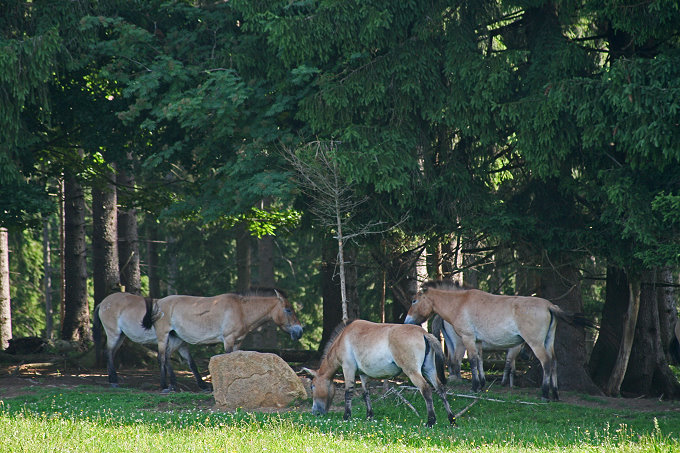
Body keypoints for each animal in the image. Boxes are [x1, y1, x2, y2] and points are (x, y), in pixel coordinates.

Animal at [142, 290, 302, 392]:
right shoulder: (228, 340)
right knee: (162, 357)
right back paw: (164, 386)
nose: (299, 331)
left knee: (171, 357)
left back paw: (182, 386)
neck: (242, 310)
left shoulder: (237, 342)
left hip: (176, 338)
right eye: (288, 310)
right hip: (163, 337)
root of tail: (158, 303)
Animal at [304, 318, 454, 428]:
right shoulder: (363, 374)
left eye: (312, 386)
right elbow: (366, 393)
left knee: (426, 390)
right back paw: (452, 419)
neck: (343, 337)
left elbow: (348, 392)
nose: (315, 412)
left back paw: (430, 421)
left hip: (413, 372)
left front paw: (346, 416)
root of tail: (424, 333)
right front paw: (369, 416)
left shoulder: (348, 369)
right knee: (440, 389)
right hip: (429, 370)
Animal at [406, 280, 592, 400]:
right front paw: (481, 385)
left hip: (536, 343)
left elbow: (473, 361)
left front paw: (475, 387)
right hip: (548, 341)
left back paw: (545, 394)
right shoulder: (478, 341)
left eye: (414, 300)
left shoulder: (468, 338)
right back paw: (555, 393)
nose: (407, 321)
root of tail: (549, 306)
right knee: (553, 361)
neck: (460, 302)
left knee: (546, 362)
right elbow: (480, 362)